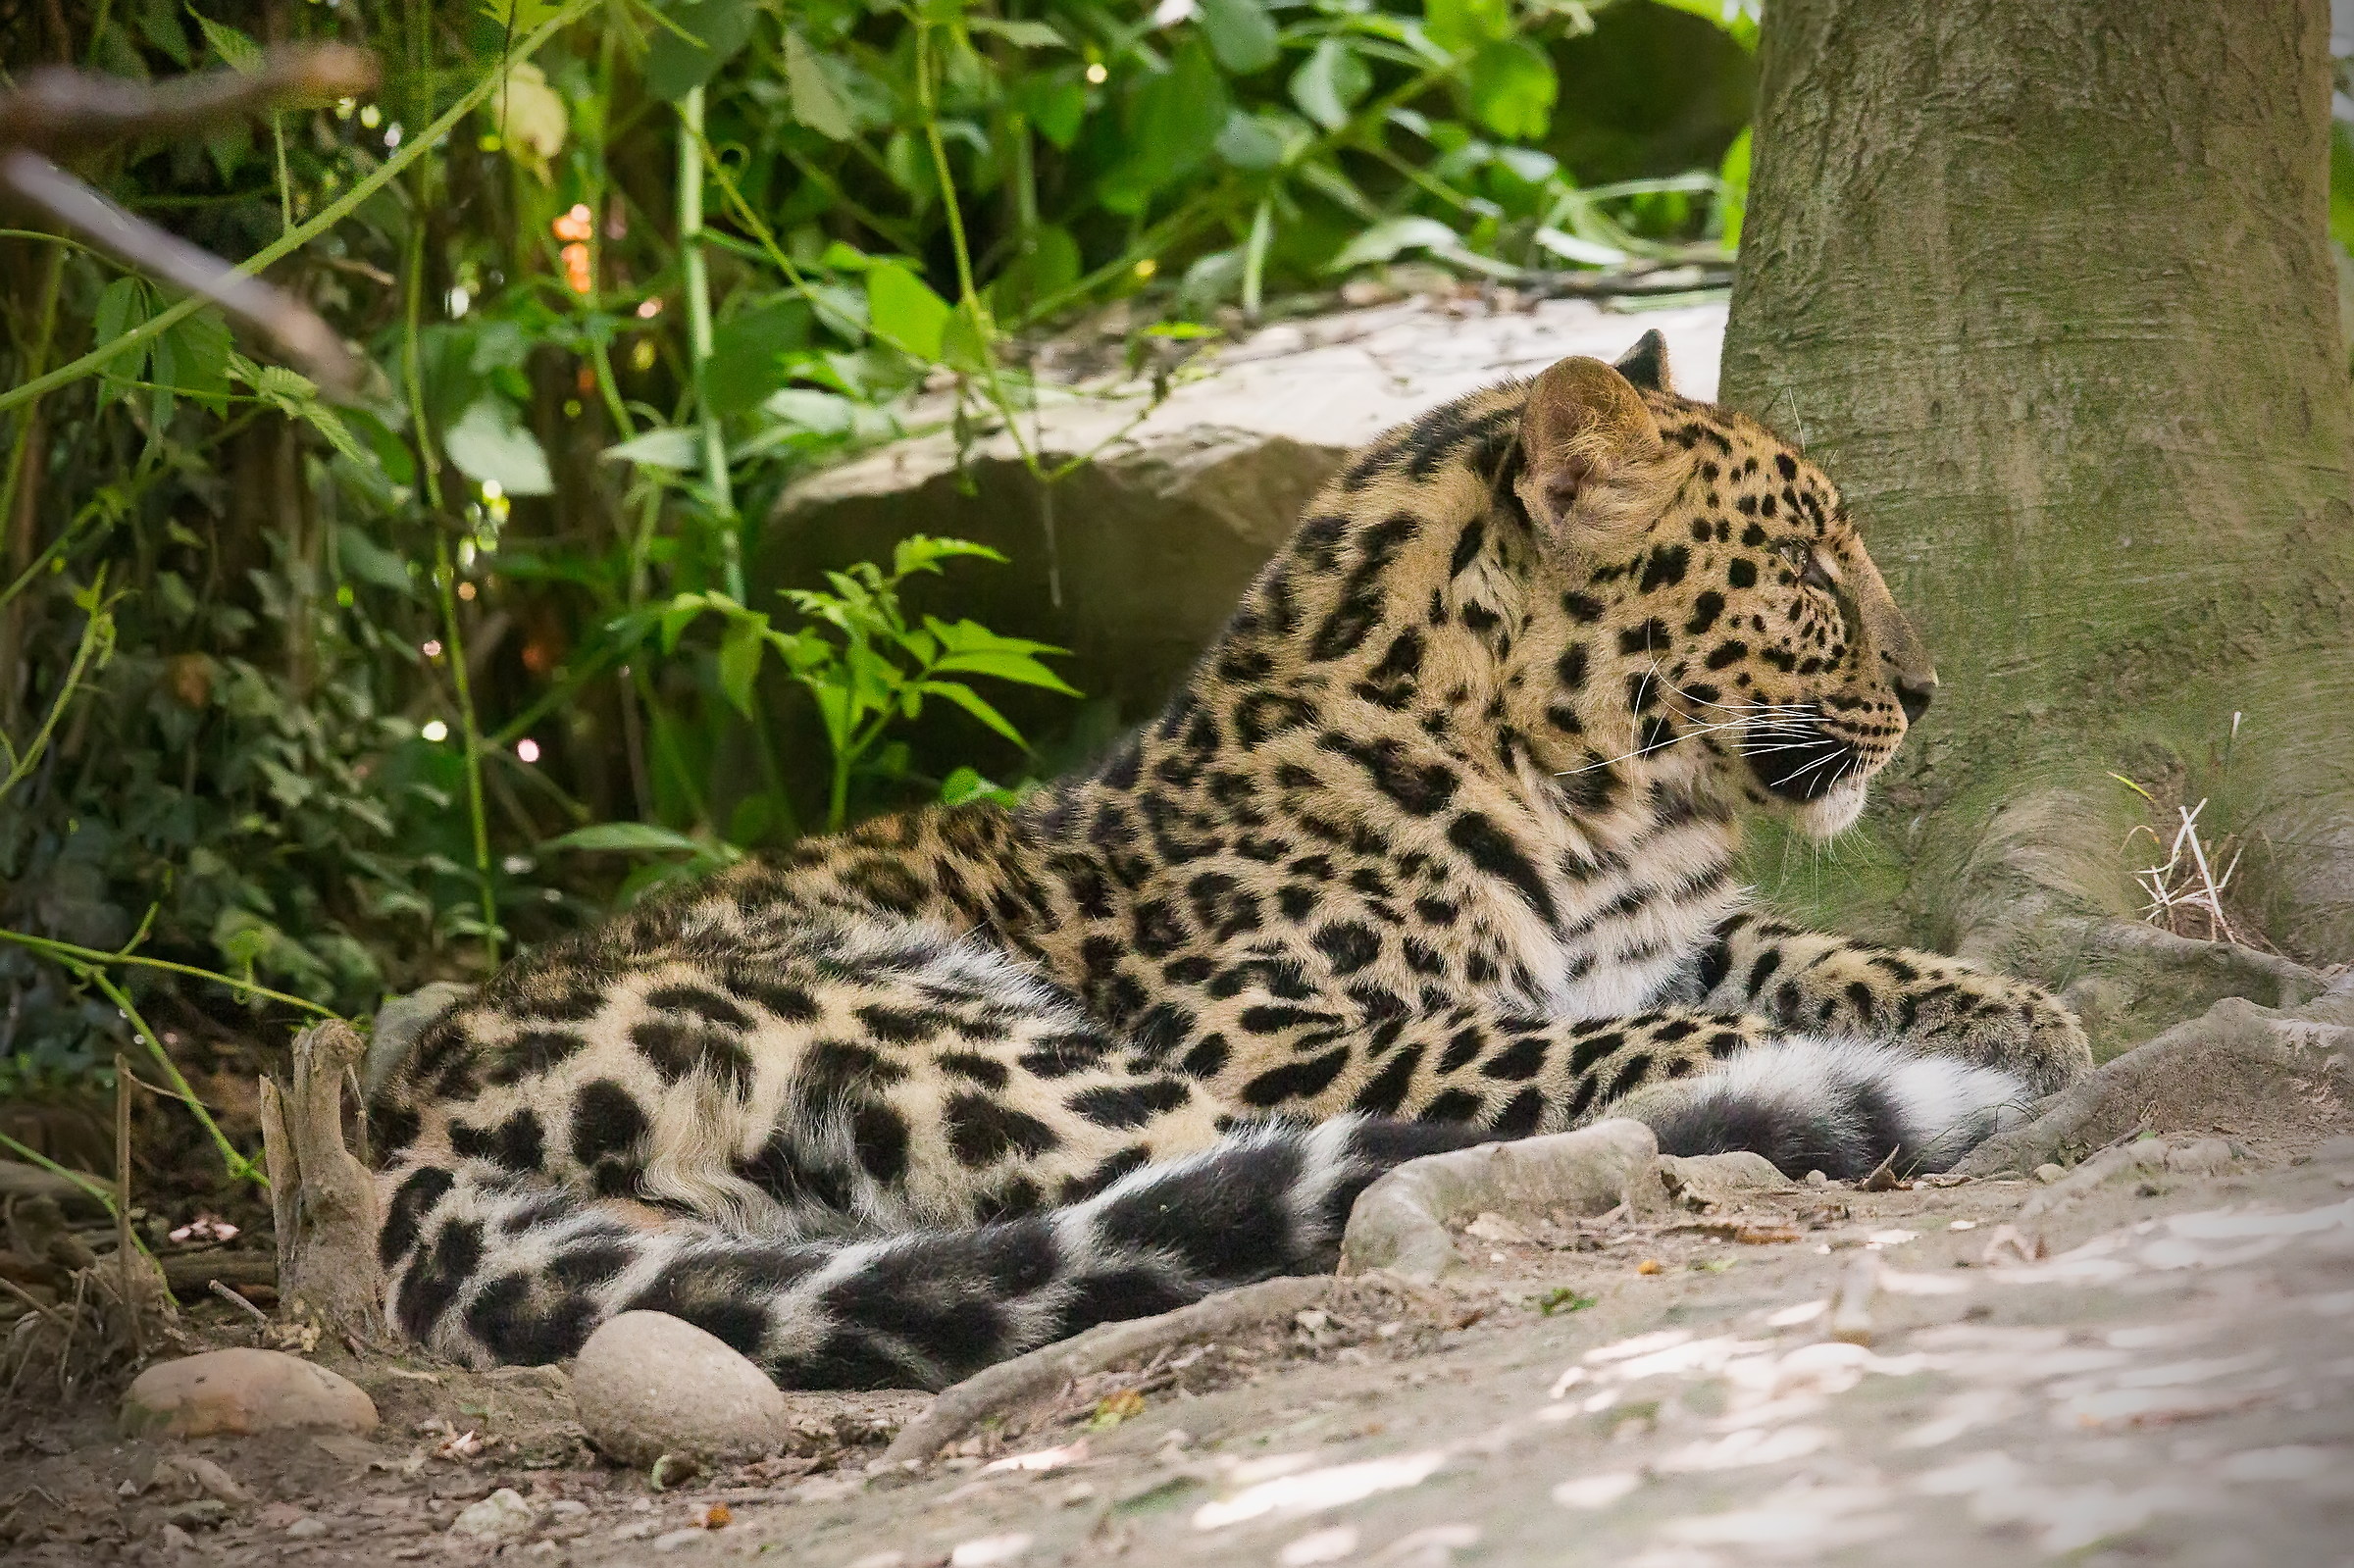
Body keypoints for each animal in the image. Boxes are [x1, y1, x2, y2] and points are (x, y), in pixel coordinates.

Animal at [364, 331, 2090, 1393]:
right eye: (1806, 566)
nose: (1929, 689)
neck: (1609, 801)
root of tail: (402, 1131)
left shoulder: (1668, 931)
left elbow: (1809, 950)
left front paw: (2017, 1011)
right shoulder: (1268, 1020)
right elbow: (1564, 1037)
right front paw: (1787, 1051)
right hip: (970, 1035)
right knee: (1234, 1168)